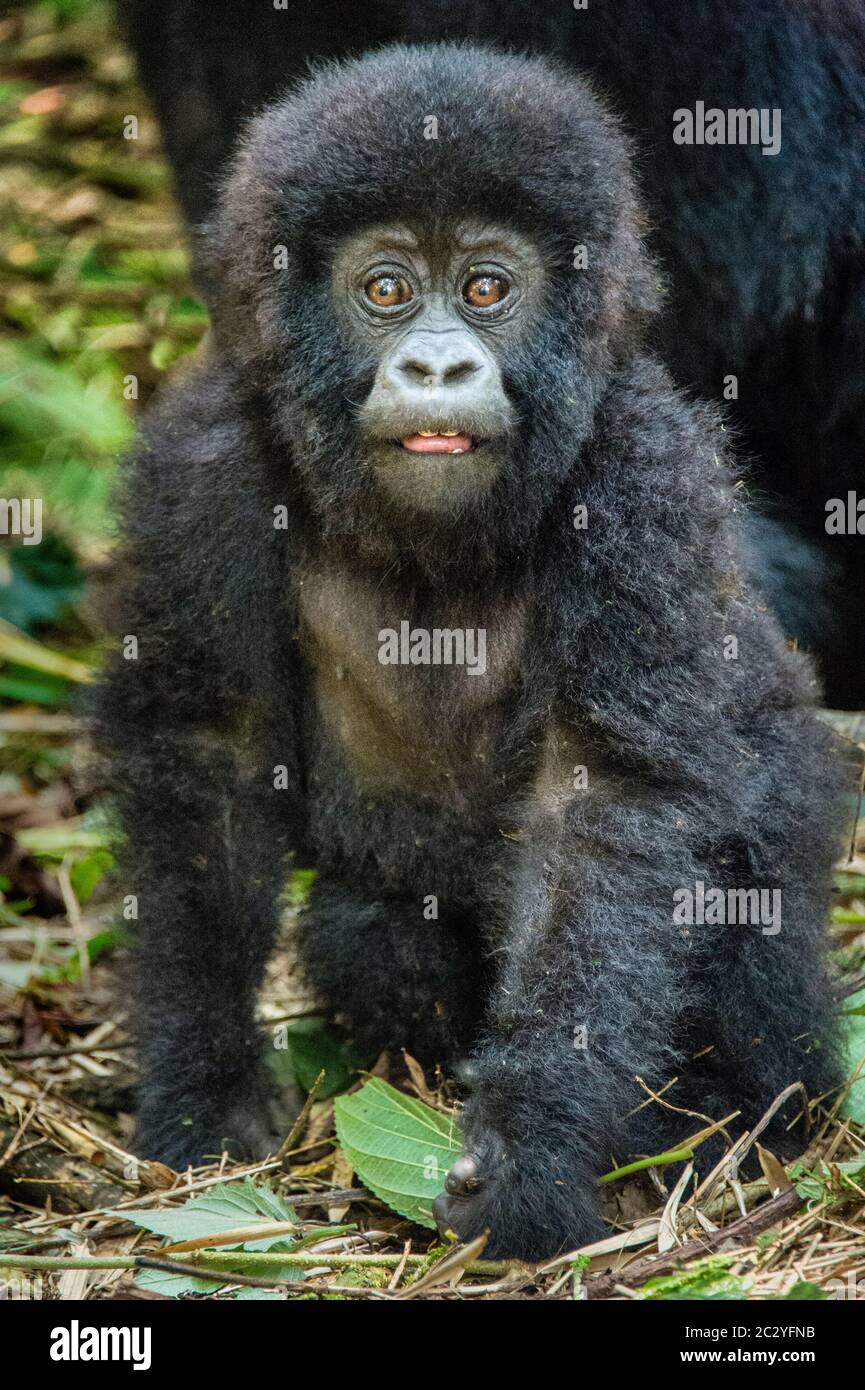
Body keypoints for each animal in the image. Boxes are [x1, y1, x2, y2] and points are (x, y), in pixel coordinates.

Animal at [96, 43, 845, 1262]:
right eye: (386, 289)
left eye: (487, 289)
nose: (441, 369)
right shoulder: (202, 463)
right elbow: (208, 751)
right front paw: (205, 1091)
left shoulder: (641, 473)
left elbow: (603, 799)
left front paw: (529, 1151)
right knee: (369, 930)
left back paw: (736, 1117)